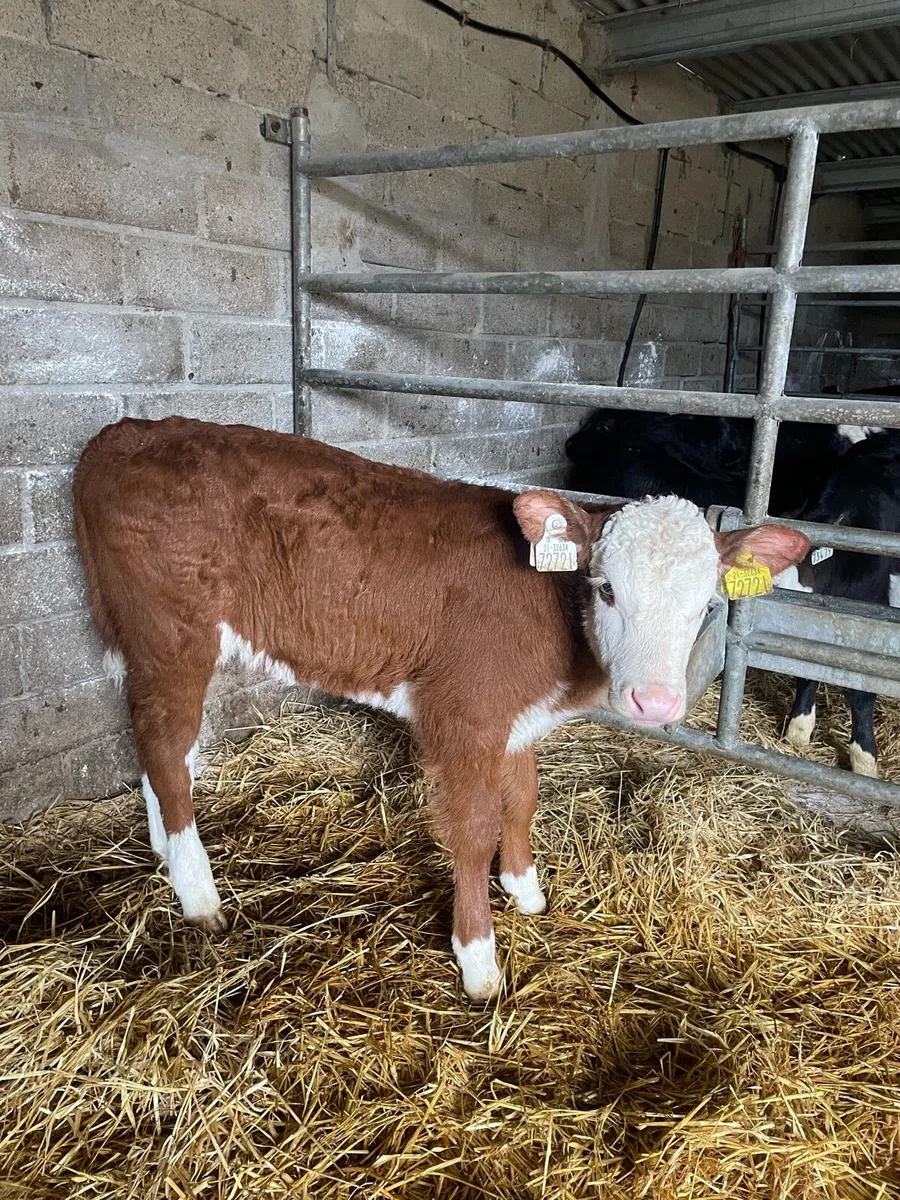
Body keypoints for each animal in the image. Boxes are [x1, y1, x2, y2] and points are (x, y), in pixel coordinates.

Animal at [73, 417, 808, 1001]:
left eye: (708, 604)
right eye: (605, 589)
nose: (654, 702)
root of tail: (128, 430)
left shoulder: (515, 718)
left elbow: (523, 798)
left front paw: (525, 888)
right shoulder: (463, 714)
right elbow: (474, 828)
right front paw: (478, 957)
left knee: (165, 749)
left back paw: (167, 852)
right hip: (172, 635)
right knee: (164, 743)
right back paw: (199, 894)